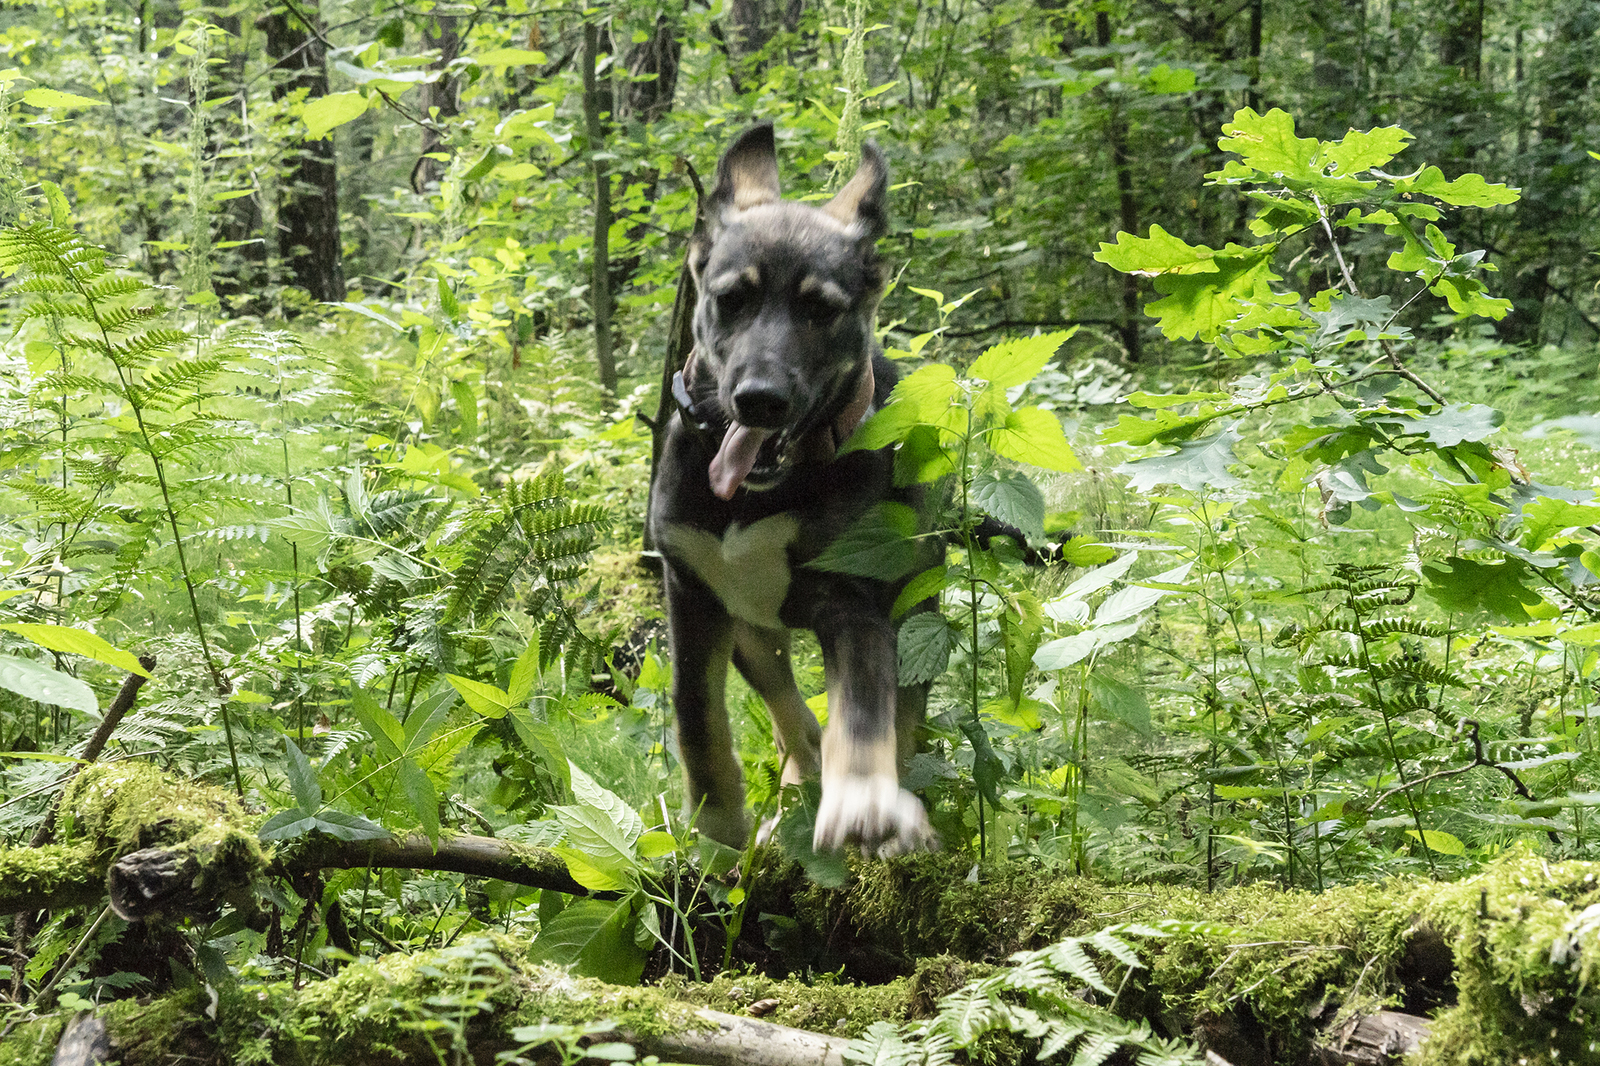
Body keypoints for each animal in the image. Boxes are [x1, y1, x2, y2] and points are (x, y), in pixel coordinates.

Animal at [646, 122, 934, 857]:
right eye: (731, 299)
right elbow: (696, 715)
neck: (754, 496)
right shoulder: (692, 594)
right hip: (750, 631)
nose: (760, 400)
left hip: (918, 605)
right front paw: (717, 826)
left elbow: (863, 713)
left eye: (820, 310)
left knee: (900, 716)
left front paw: (864, 799)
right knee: (789, 715)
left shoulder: (855, 602)